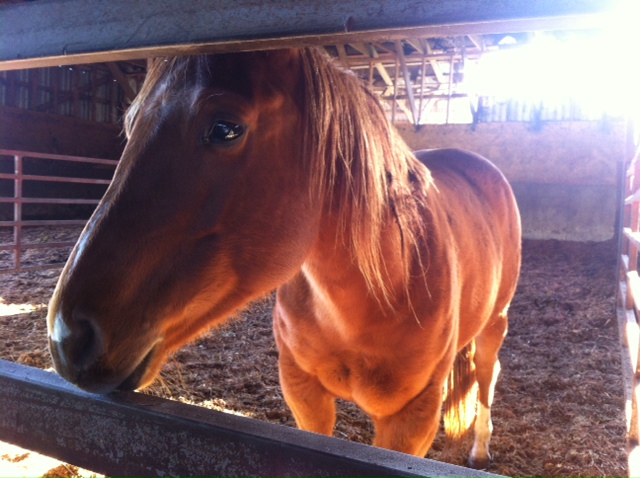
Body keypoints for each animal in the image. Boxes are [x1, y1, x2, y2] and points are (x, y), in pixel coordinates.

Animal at [48, 49, 520, 470]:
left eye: (225, 128)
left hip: (495, 325)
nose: (68, 336)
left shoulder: (411, 421)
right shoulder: (302, 391)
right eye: (130, 124)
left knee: (486, 377)